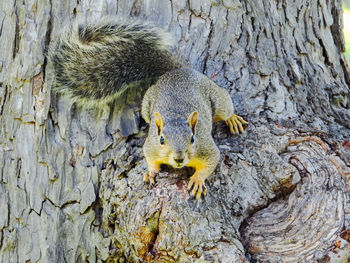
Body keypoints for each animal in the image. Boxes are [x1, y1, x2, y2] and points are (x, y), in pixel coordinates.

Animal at [49, 21, 247, 199]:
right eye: (161, 139)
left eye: (192, 138)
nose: (179, 158)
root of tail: (175, 71)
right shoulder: (151, 145)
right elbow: (149, 157)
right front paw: (151, 171)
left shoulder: (205, 147)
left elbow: (211, 161)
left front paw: (198, 180)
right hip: (146, 106)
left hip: (216, 98)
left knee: (225, 107)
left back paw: (233, 119)